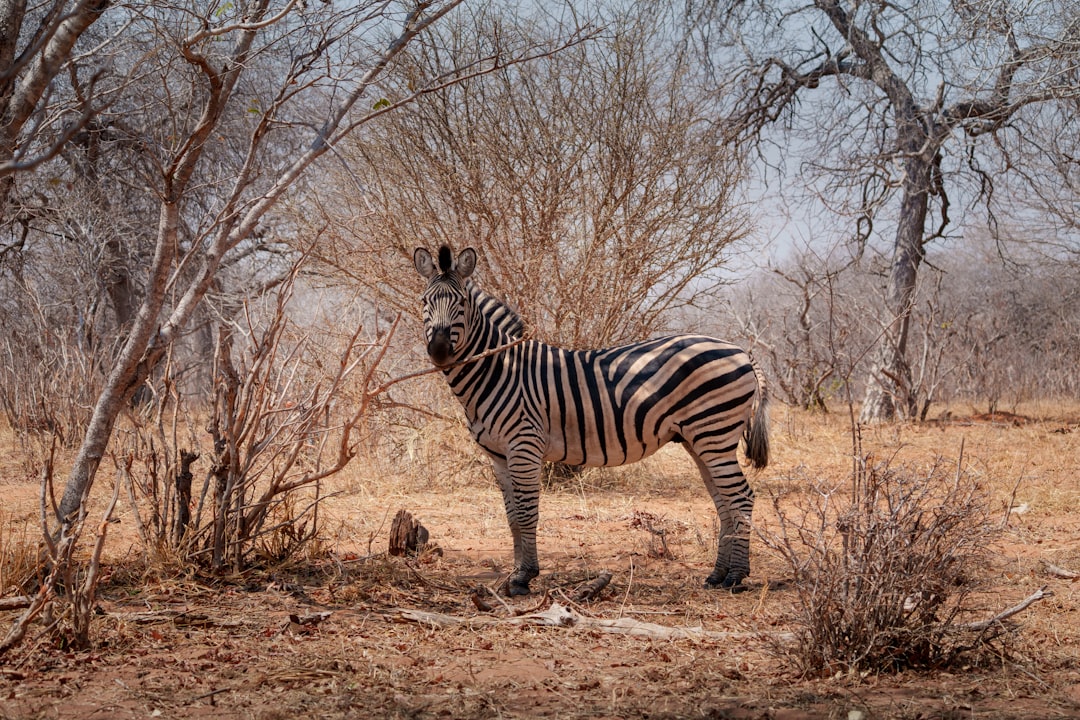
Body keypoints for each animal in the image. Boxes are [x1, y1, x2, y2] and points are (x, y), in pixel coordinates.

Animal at [414, 245, 769, 596]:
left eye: (461, 302)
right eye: (424, 302)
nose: (439, 351)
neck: (499, 371)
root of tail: (740, 350)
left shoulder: (524, 445)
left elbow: (527, 513)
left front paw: (523, 577)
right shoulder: (498, 455)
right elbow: (512, 516)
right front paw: (514, 574)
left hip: (714, 434)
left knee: (741, 497)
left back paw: (736, 576)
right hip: (700, 440)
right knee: (724, 502)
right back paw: (717, 575)